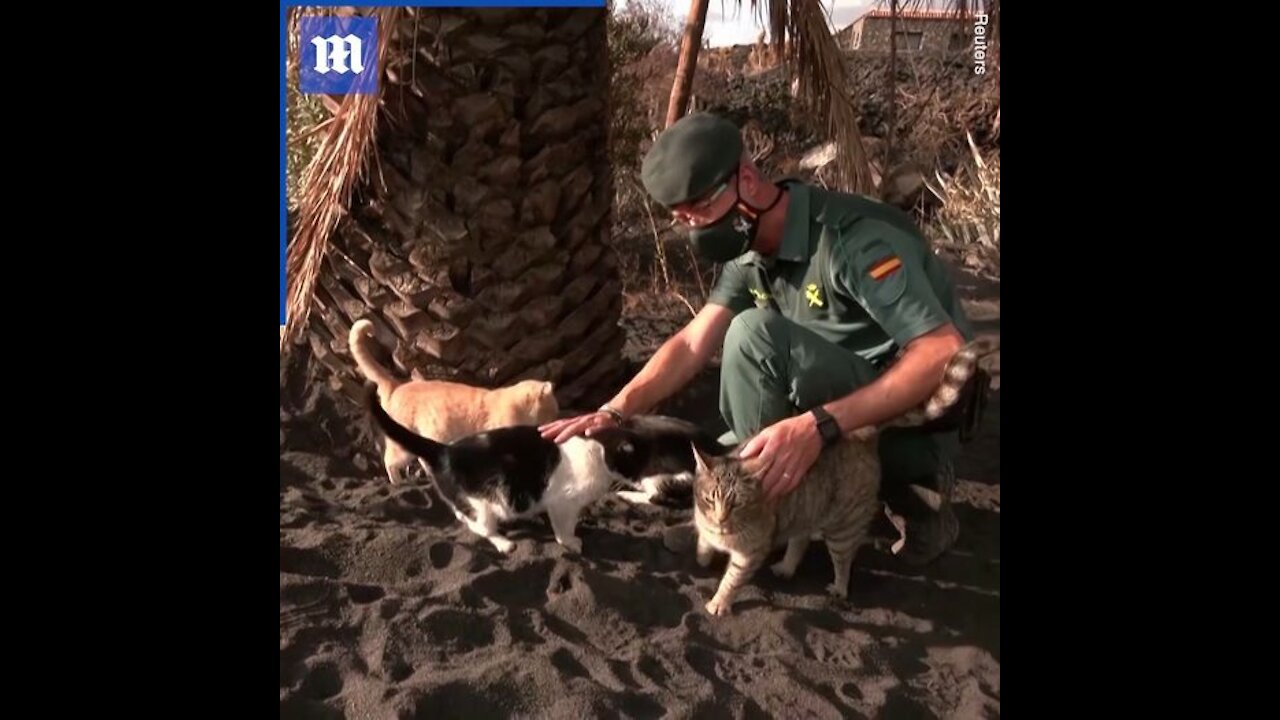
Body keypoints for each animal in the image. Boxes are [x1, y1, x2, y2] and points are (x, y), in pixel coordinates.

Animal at [691, 338, 988, 614]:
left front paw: (719, 602)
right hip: (808, 507)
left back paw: (838, 587)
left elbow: (731, 580)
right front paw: (703, 557)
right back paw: (786, 566)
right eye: (709, 499)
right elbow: (703, 543)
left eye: (737, 504)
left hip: (842, 528)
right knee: (801, 538)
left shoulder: (749, 554)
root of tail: (864, 431)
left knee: (843, 562)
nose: (720, 519)